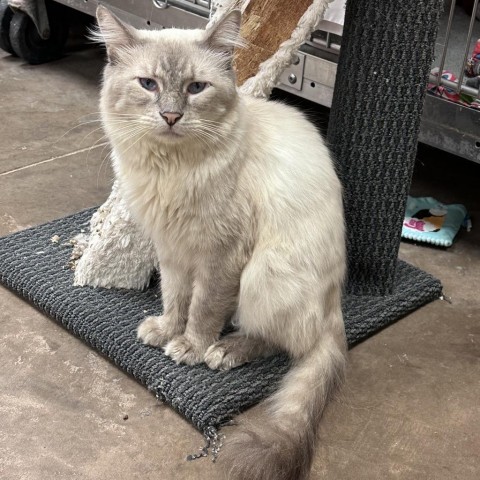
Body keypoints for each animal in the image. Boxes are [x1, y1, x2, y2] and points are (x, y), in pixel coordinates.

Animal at [95, 6, 346, 480]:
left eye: (196, 88)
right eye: (148, 84)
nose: (170, 116)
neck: (170, 169)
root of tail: (335, 306)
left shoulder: (221, 256)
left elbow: (204, 308)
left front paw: (190, 347)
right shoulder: (172, 249)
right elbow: (175, 300)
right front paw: (166, 331)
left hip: (263, 275)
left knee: (285, 342)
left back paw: (224, 351)